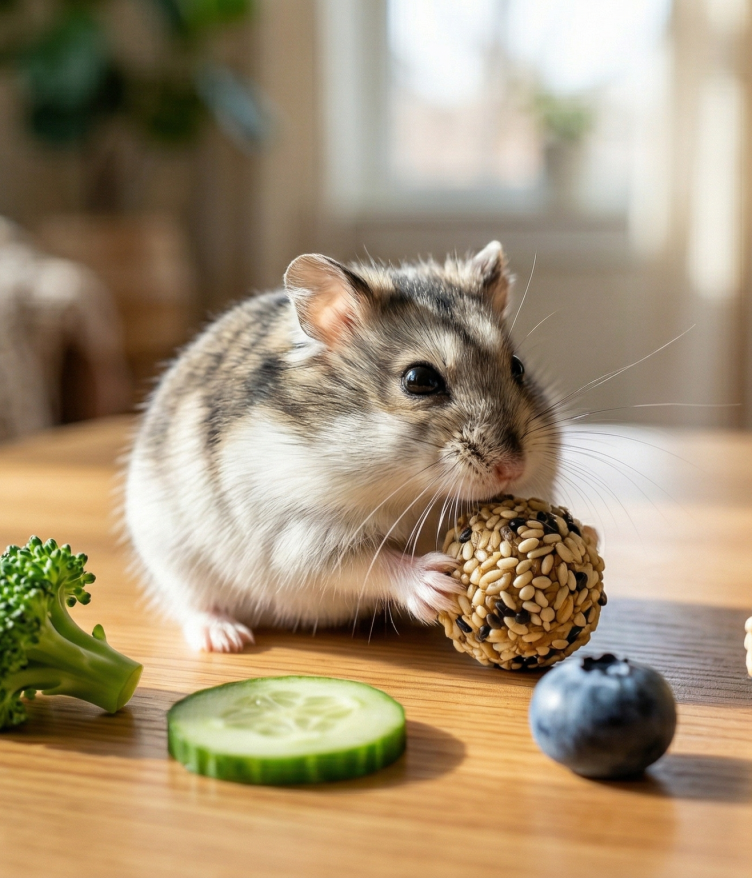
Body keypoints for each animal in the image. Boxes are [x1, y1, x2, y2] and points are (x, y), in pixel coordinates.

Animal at [125, 241, 560, 652]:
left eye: (518, 367)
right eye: (419, 379)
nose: (513, 469)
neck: (409, 488)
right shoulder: (298, 534)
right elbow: (366, 562)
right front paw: (437, 585)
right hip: (172, 556)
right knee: (191, 605)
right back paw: (226, 638)